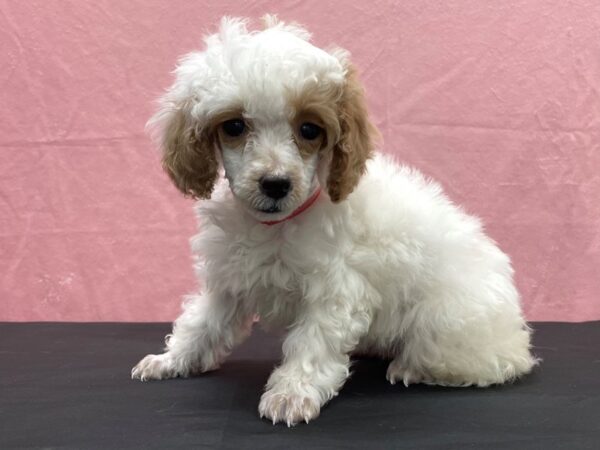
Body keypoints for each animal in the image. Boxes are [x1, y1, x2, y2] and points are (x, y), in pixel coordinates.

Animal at [132, 16, 540, 426]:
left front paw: (291, 394)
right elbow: (202, 323)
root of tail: (515, 332)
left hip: (447, 323)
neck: (276, 226)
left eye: (309, 130)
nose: (276, 184)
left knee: (487, 365)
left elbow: (312, 343)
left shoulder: (336, 290)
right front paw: (172, 360)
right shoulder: (229, 281)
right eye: (233, 127)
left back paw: (412, 368)